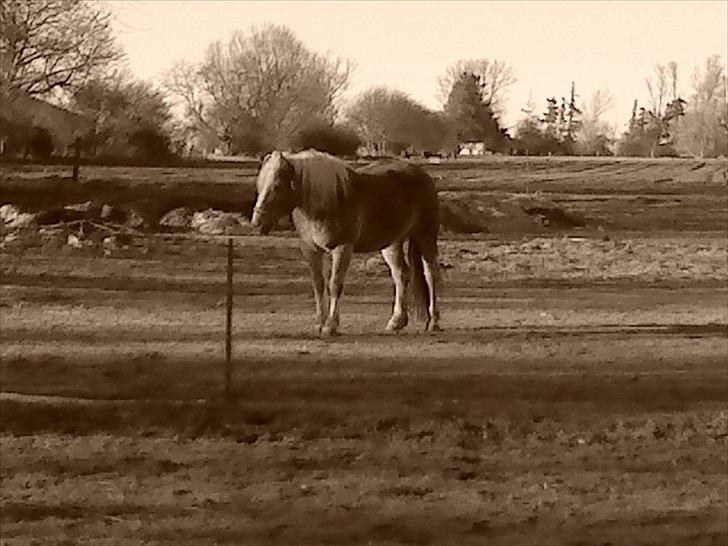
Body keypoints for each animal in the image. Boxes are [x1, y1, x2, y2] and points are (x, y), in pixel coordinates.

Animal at [250, 150, 444, 336]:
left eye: (276, 186)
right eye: (260, 185)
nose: (257, 222)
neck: (328, 201)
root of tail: (423, 175)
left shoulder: (342, 248)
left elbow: (334, 285)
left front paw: (331, 326)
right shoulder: (310, 250)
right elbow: (318, 285)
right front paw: (319, 323)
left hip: (426, 236)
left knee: (430, 275)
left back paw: (433, 322)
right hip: (392, 244)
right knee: (401, 275)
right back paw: (396, 322)